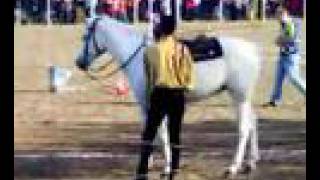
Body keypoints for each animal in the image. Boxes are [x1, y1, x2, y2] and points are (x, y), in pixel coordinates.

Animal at [76, 15, 262, 177]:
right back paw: (251, 163)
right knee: (253, 122)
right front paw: (153, 162)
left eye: (84, 37)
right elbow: (155, 133)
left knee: (244, 128)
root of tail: (252, 49)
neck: (140, 56)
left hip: (239, 97)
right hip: (244, 98)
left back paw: (233, 167)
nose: (79, 63)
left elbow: (160, 134)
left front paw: (165, 167)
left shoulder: (152, 105)